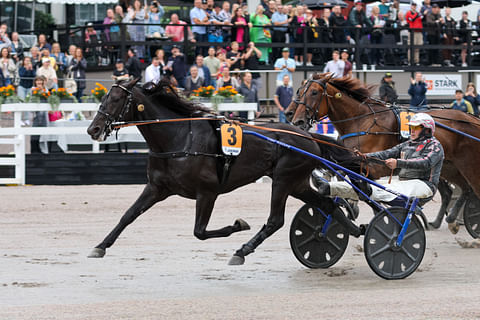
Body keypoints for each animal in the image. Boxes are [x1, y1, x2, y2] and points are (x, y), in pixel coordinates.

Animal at [86, 78, 364, 264]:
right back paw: (354, 232)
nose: (93, 129)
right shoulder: (157, 188)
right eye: (104, 98)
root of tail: (308, 136)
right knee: (326, 205)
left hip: (284, 180)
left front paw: (238, 225)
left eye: (116, 99)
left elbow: (199, 232)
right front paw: (100, 246)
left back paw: (241, 251)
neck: (179, 138)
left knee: (276, 220)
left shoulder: (207, 192)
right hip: (296, 183)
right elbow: (128, 215)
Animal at [286, 73, 480, 232]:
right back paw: (447, 220)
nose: (296, 119)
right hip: (449, 166)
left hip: (467, 164)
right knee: (460, 190)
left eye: (314, 92)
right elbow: (346, 173)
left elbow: (362, 183)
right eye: (299, 91)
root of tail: (471, 118)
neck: (362, 121)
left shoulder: (378, 167)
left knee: (470, 189)